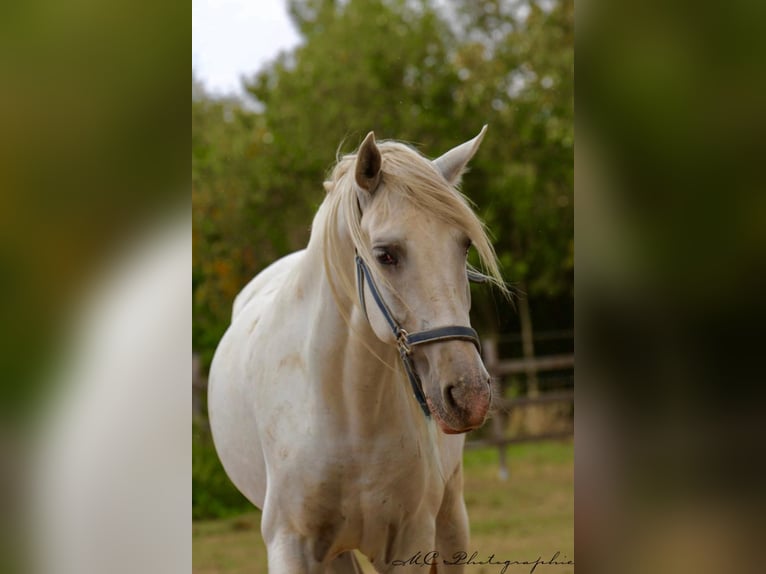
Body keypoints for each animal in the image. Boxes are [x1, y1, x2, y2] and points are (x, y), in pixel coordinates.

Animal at [208, 126, 506, 573]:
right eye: (385, 255)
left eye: (464, 246)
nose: (469, 393)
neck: (349, 414)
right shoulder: (291, 545)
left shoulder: (410, 542)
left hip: (451, 514)